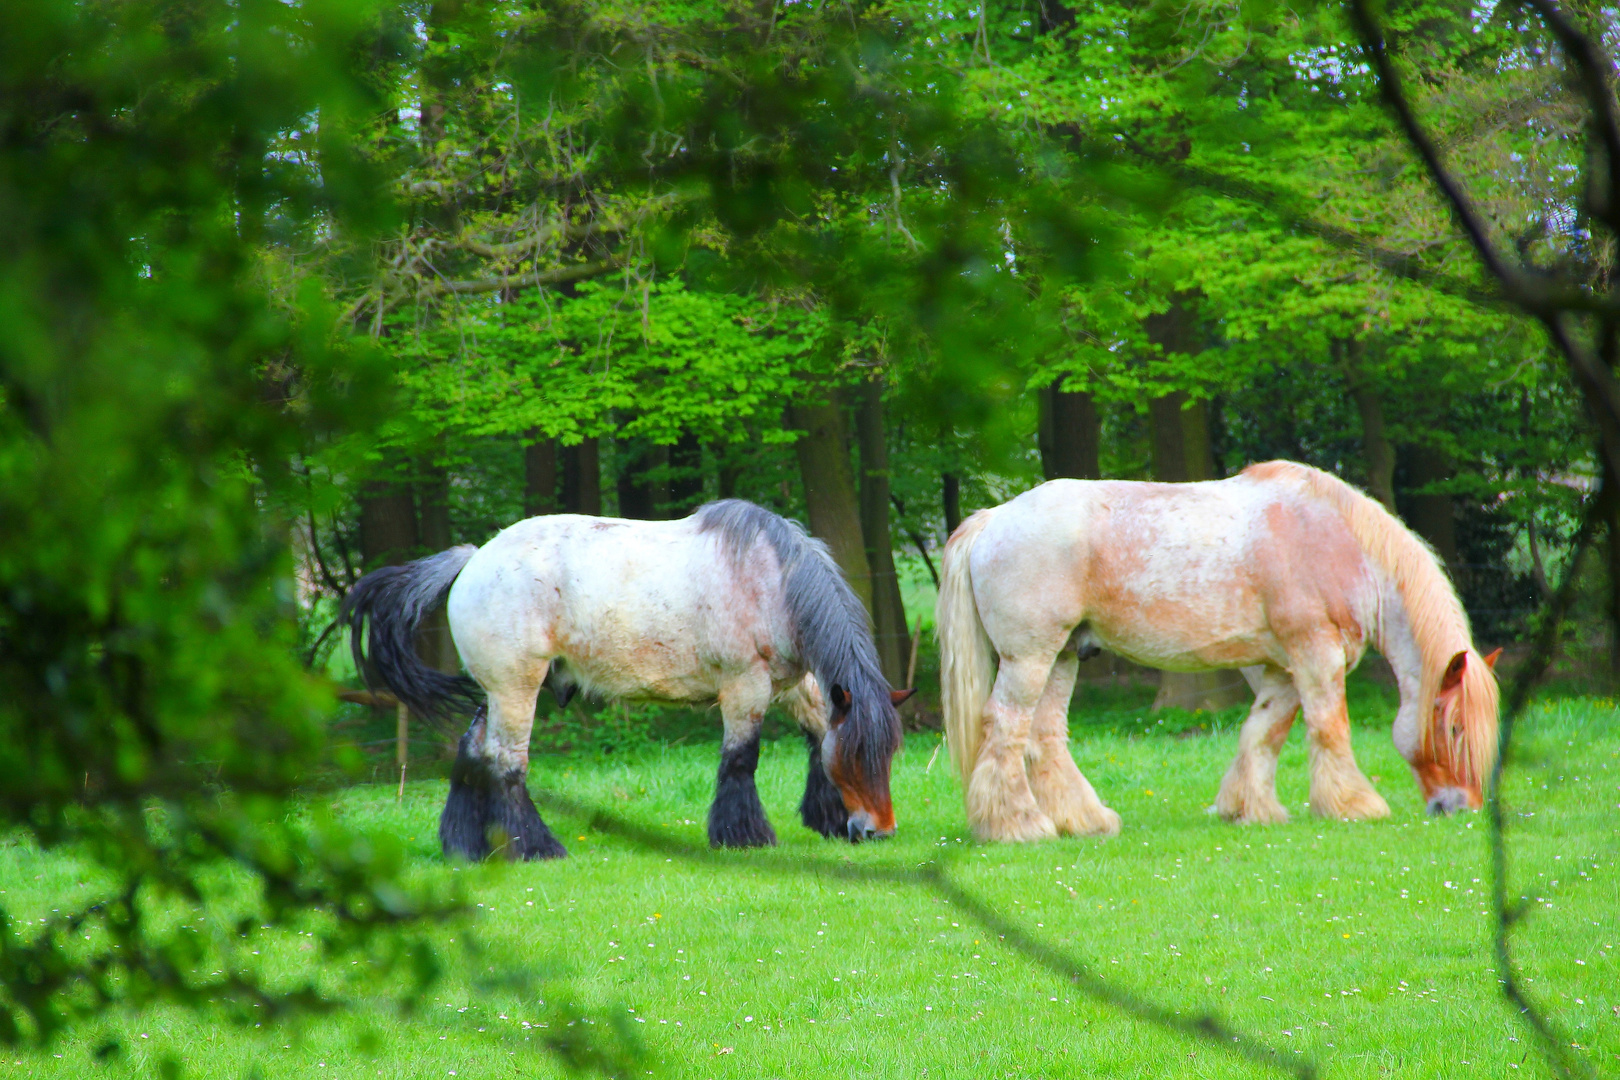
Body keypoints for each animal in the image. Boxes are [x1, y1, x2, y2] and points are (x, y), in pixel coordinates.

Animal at [346, 498, 907, 861]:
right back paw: (538, 848)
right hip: (516, 690)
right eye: (859, 755)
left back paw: (465, 846)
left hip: (497, 691)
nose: (879, 832)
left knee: (471, 753)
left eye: (888, 754)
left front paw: (826, 819)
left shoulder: (792, 687)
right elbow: (741, 761)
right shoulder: (745, 688)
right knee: (505, 763)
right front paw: (744, 836)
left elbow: (816, 736)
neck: (771, 580)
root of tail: (473, 558)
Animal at [946, 459, 1496, 841]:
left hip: (1061, 657)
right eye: (1453, 727)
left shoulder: (1281, 667)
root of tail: (993, 518)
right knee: (1006, 728)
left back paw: (1082, 821)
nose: (1460, 806)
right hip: (1029, 658)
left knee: (1044, 736)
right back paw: (1017, 825)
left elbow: (1263, 731)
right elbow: (1329, 726)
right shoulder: (1317, 656)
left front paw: (1248, 809)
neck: (1335, 542)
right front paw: (1353, 805)